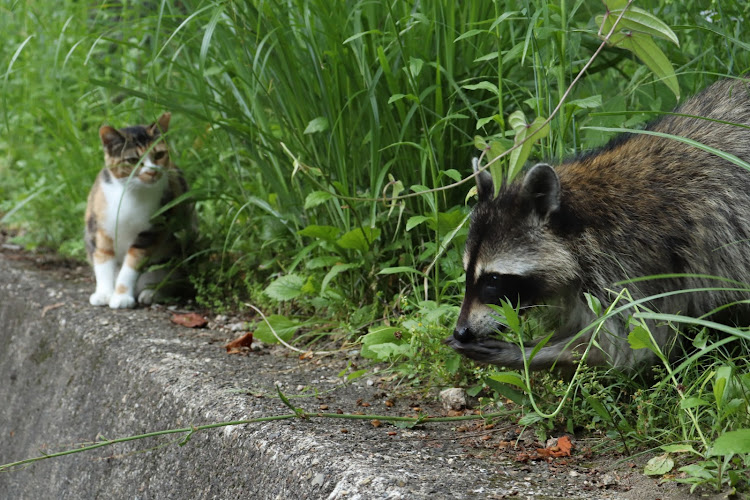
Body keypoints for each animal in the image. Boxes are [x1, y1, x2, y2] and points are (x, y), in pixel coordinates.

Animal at [85, 112, 194, 308]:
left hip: (177, 249)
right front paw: (104, 293)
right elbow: (103, 258)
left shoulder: (152, 229)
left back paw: (152, 293)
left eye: (159, 154)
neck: (131, 192)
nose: (152, 172)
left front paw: (121, 296)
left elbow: (132, 264)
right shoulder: (100, 226)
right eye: (132, 160)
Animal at [450, 78, 750, 374]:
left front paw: (527, 353)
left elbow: (628, 343)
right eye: (467, 273)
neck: (576, 224)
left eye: (493, 280)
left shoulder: (630, 266)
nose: (461, 331)